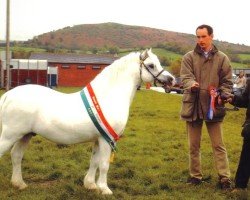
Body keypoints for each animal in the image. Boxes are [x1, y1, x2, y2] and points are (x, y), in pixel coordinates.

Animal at [0, 49, 175, 195]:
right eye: (151, 65)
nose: (171, 80)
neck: (107, 97)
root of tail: (8, 95)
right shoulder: (106, 139)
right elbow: (104, 164)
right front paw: (105, 189)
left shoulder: (99, 138)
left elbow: (94, 162)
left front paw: (90, 185)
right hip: (10, 135)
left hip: (26, 135)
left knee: (16, 155)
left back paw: (19, 184)